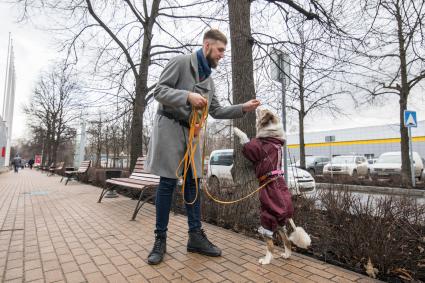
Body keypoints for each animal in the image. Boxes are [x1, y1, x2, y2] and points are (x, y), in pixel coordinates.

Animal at [234, 108, 310, 266]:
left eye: (263, 110)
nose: (257, 105)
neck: (272, 136)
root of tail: (288, 213)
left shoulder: (255, 150)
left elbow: (246, 140)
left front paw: (236, 130)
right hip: (279, 224)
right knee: (287, 241)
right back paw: (286, 255)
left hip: (266, 220)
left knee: (271, 245)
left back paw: (266, 260)